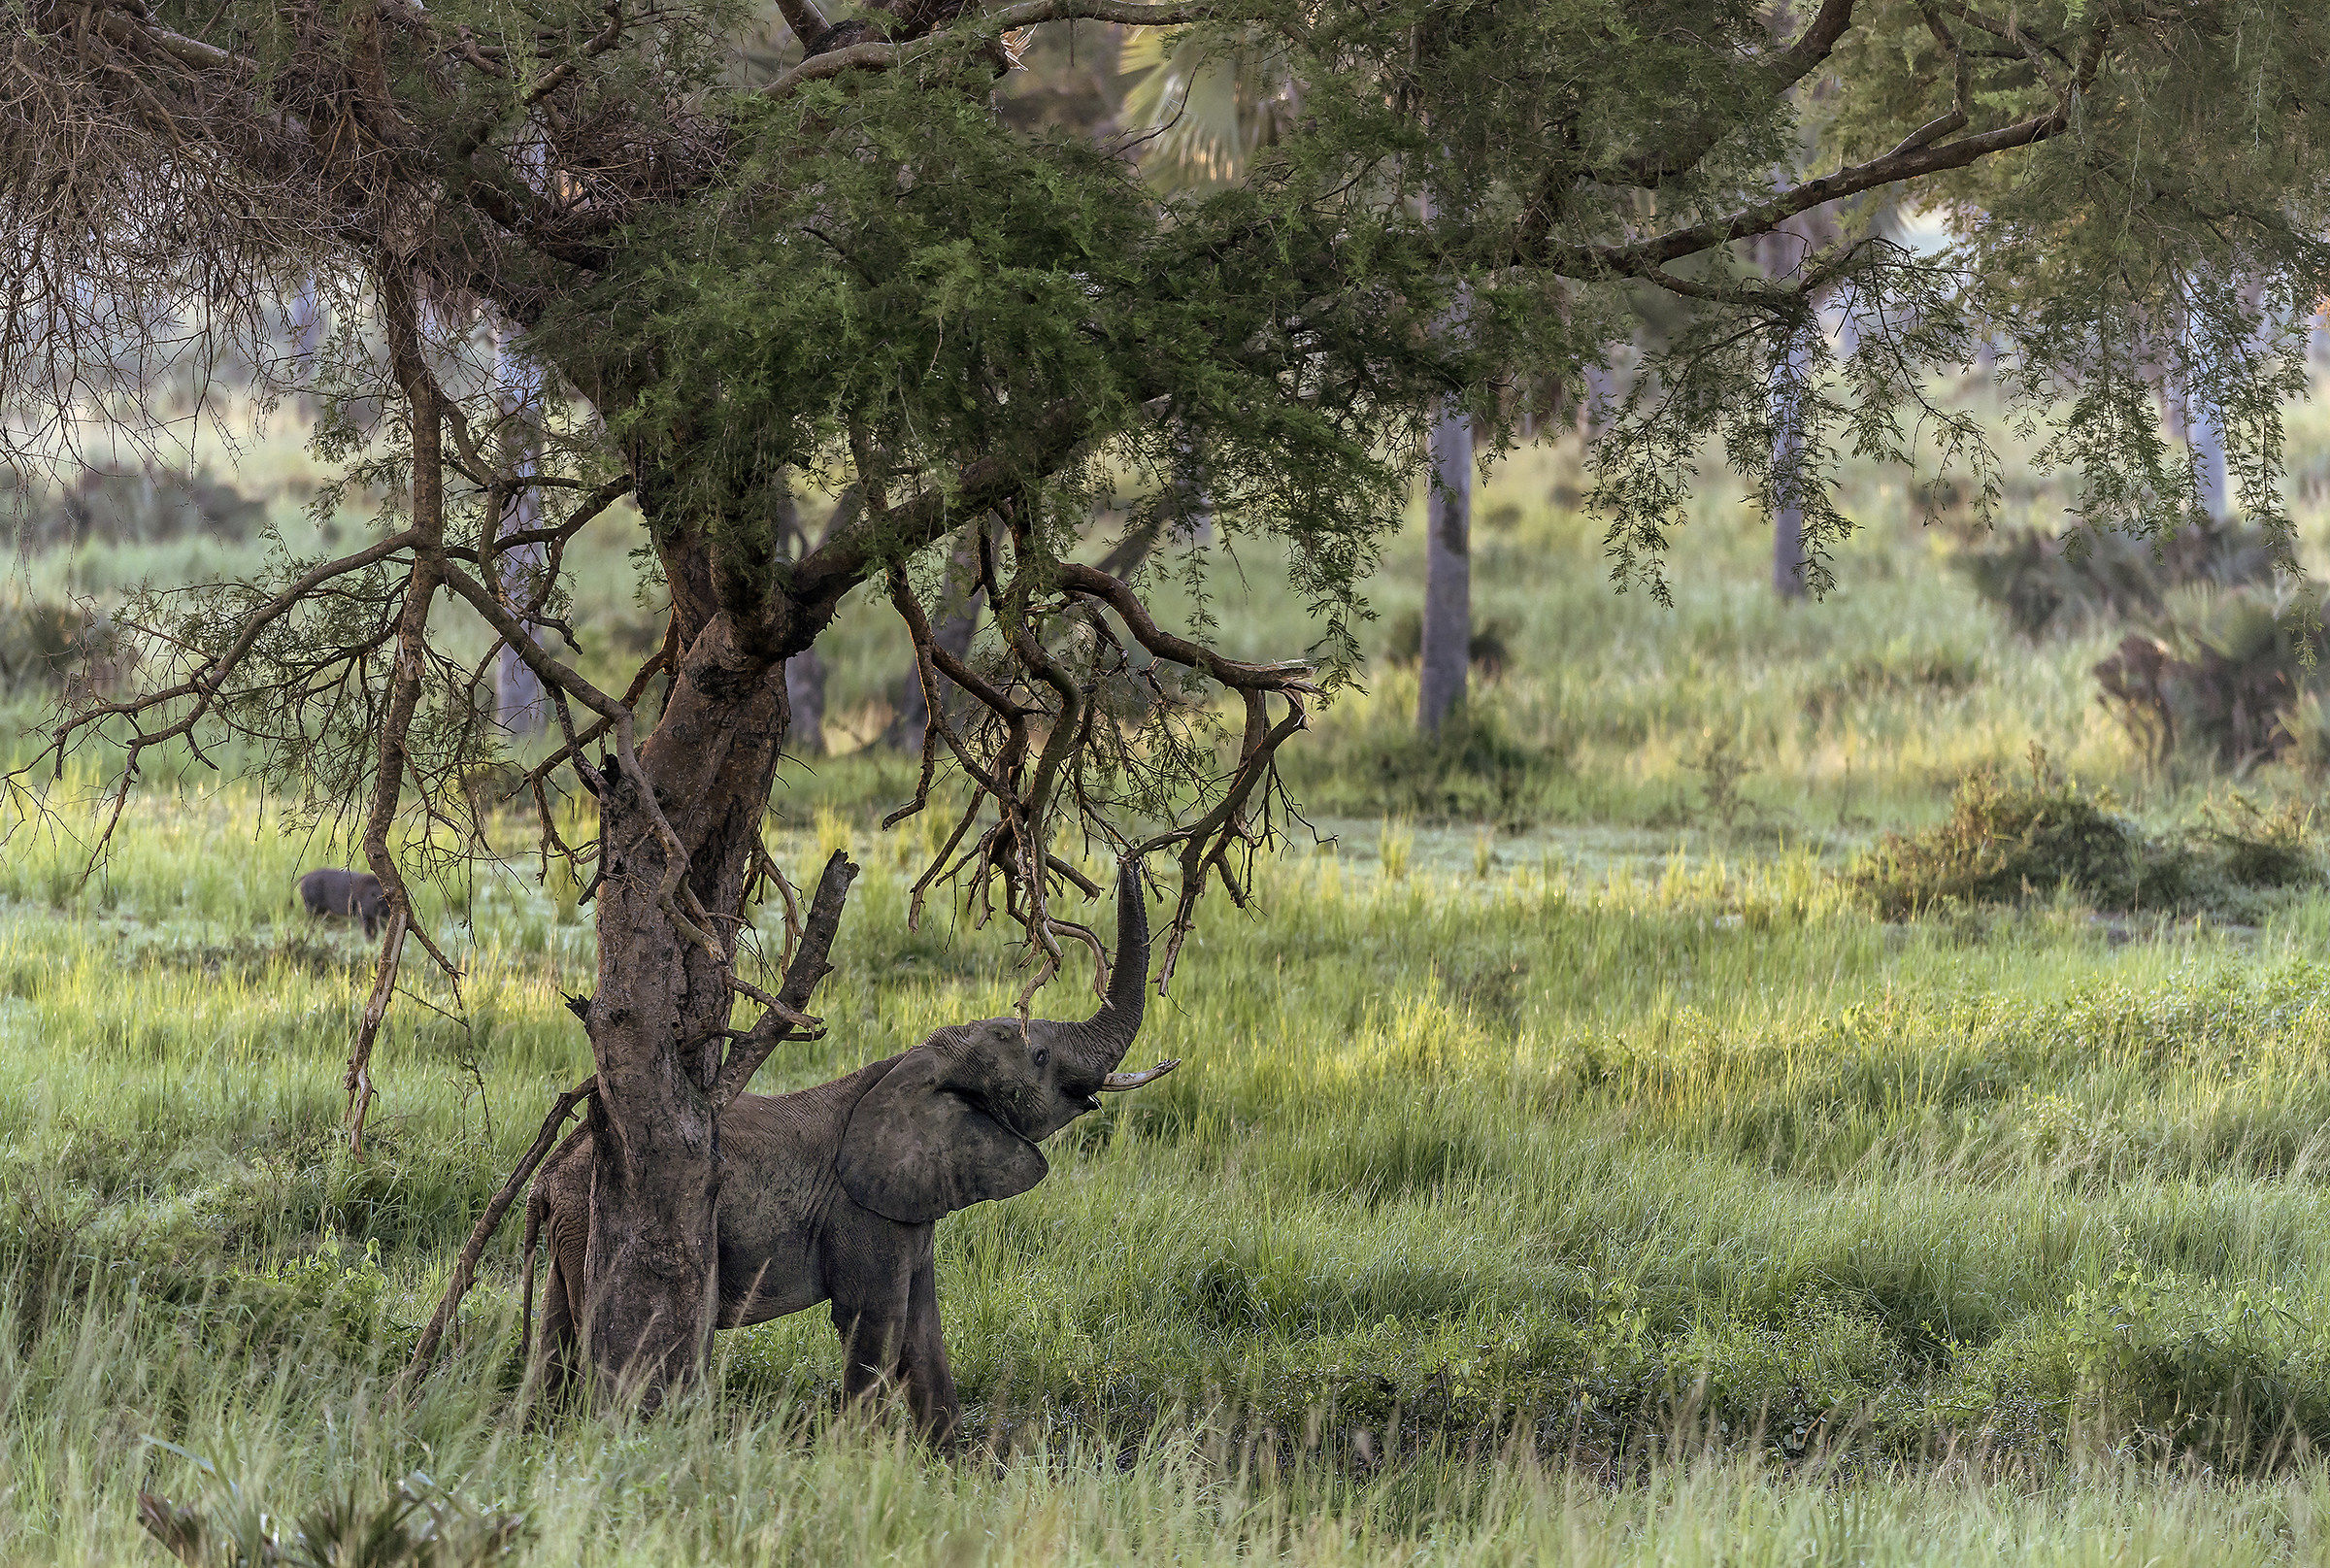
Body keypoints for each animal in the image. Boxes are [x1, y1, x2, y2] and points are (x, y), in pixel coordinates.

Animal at [520, 859, 1176, 1441]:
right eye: (1038, 1056)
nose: (1126, 859)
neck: (915, 1062)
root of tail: (546, 1181)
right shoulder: (859, 1210)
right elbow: (876, 1322)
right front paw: (862, 1460)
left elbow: (923, 1328)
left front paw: (941, 1467)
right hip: (594, 1219)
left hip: (573, 1229)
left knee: (555, 1339)